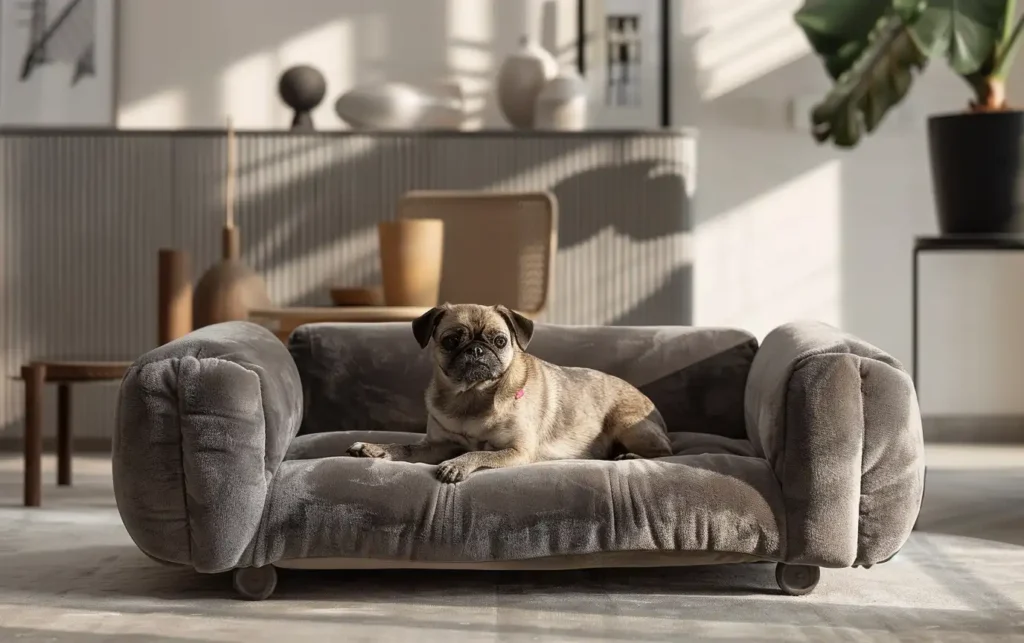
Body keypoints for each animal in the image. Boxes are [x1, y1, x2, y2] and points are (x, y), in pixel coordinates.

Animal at [348, 303, 675, 483]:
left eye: (500, 341)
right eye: (451, 341)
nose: (476, 350)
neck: (471, 396)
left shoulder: (518, 451)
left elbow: (478, 452)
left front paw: (456, 465)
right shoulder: (437, 445)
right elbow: (407, 448)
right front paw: (375, 448)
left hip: (627, 423)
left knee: (666, 452)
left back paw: (629, 455)